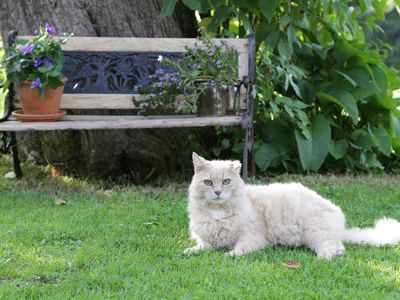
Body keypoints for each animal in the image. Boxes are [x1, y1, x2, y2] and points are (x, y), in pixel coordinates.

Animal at [186, 154, 400, 258]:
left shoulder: (252, 237)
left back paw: (322, 258)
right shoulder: (208, 239)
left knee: (330, 247)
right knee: (338, 246)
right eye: (208, 183)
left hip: (315, 231)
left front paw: (230, 255)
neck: (218, 214)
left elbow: (240, 249)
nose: (218, 193)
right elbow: (202, 246)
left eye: (226, 182)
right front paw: (191, 251)